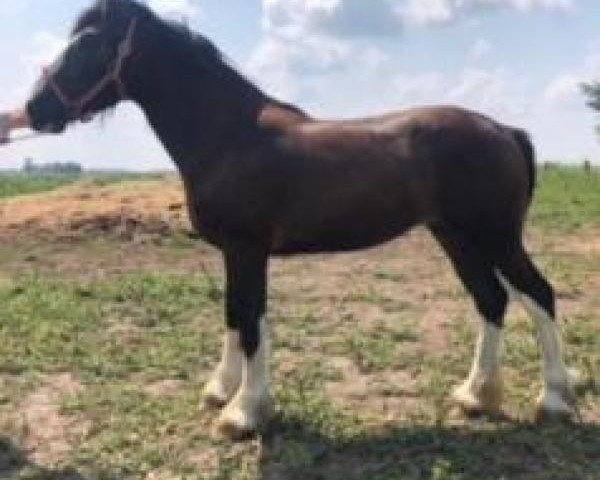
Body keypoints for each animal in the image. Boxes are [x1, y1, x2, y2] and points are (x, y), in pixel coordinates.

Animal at [18, 0, 580, 438]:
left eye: (89, 45)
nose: (36, 109)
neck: (229, 135)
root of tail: (504, 130)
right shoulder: (235, 252)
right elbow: (233, 313)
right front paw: (223, 391)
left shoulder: (248, 249)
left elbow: (250, 321)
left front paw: (244, 414)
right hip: (456, 238)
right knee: (492, 301)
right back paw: (475, 396)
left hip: (497, 237)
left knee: (539, 295)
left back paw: (553, 401)